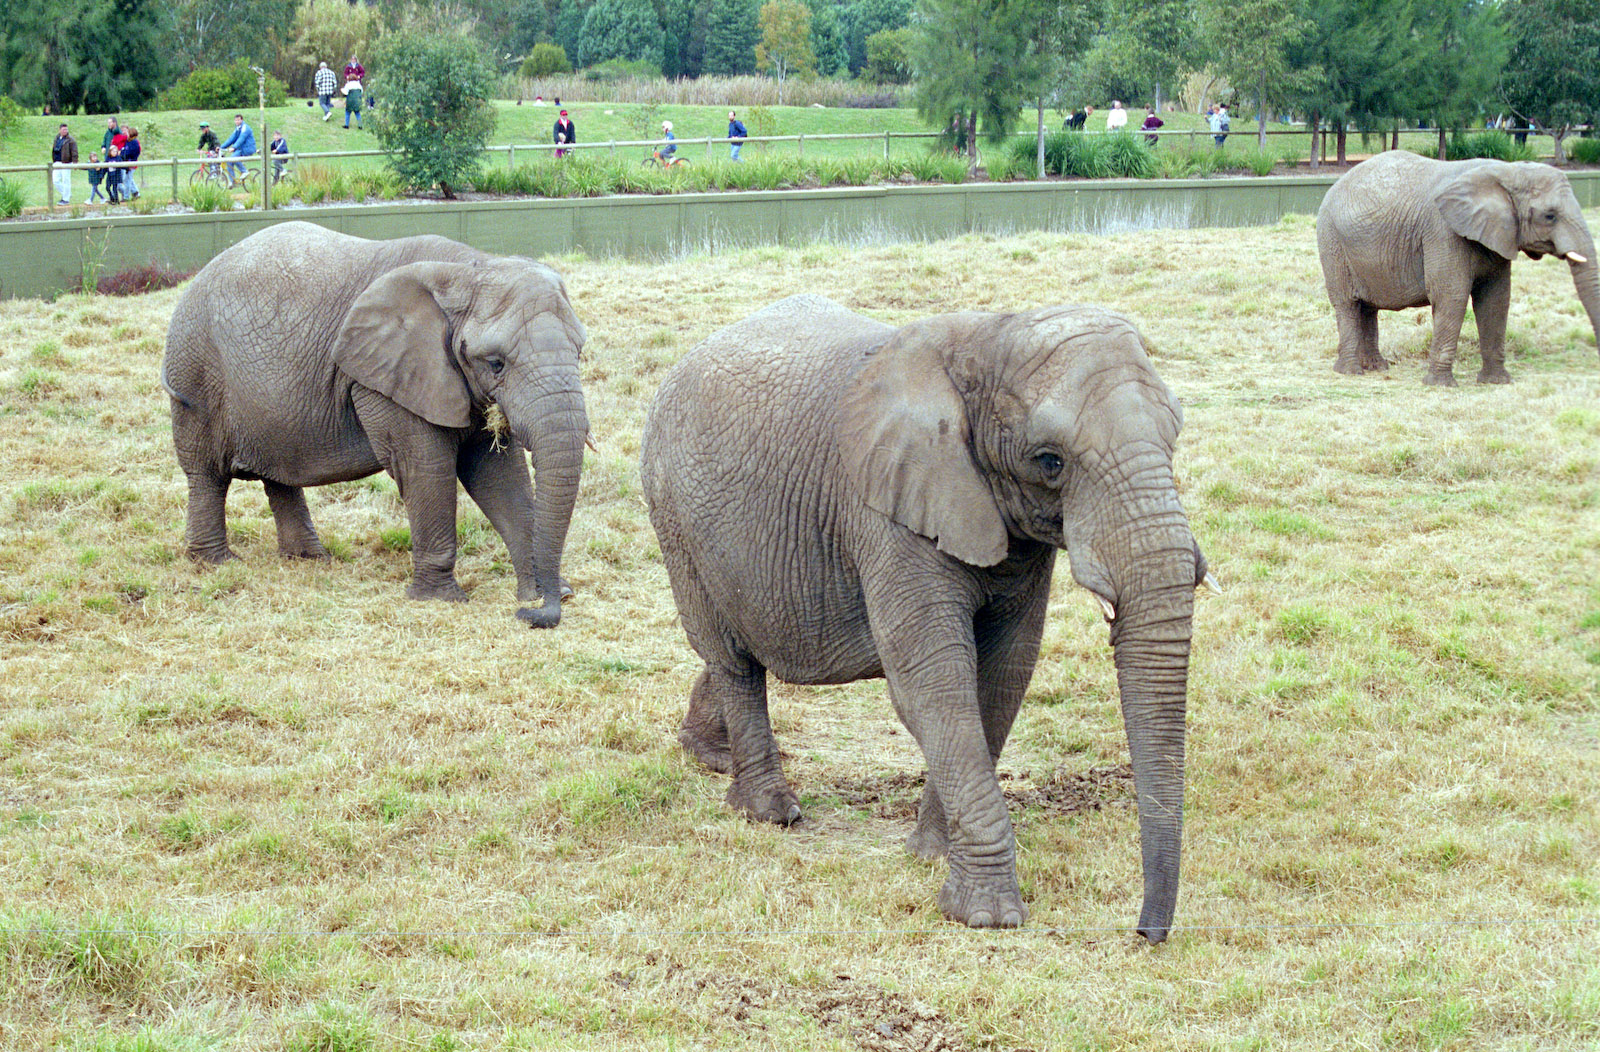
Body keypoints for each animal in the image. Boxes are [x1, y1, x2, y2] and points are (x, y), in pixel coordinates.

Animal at [161, 221, 589, 628]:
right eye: (496, 363)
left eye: (580, 351)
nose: (534, 616)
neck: (470, 268)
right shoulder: (383, 379)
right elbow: (426, 468)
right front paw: (440, 601)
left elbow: (499, 475)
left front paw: (548, 593)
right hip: (196, 378)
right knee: (207, 475)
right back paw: (217, 563)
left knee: (279, 472)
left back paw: (309, 559)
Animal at [640, 294, 1214, 942]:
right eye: (1050, 461)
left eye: (1174, 437)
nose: (1146, 933)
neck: (986, 336)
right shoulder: (886, 511)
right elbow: (935, 683)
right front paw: (986, 915)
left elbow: (1003, 674)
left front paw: (930, 853)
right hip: (674, 519)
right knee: (732, 658)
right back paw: (770, 813)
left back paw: (707, 755)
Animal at [1316, 152, 1600, 386]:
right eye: (1550, 216)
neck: (1506, 171)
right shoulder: (1443, 231)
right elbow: (1451, 296)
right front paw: (1440, 385)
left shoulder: (1497, 237)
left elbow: (1495, 299)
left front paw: (1497, 382)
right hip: (1332, 244)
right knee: (1347, 304)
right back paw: (1350, 372)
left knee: (1367, 307)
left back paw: (1376, 367)